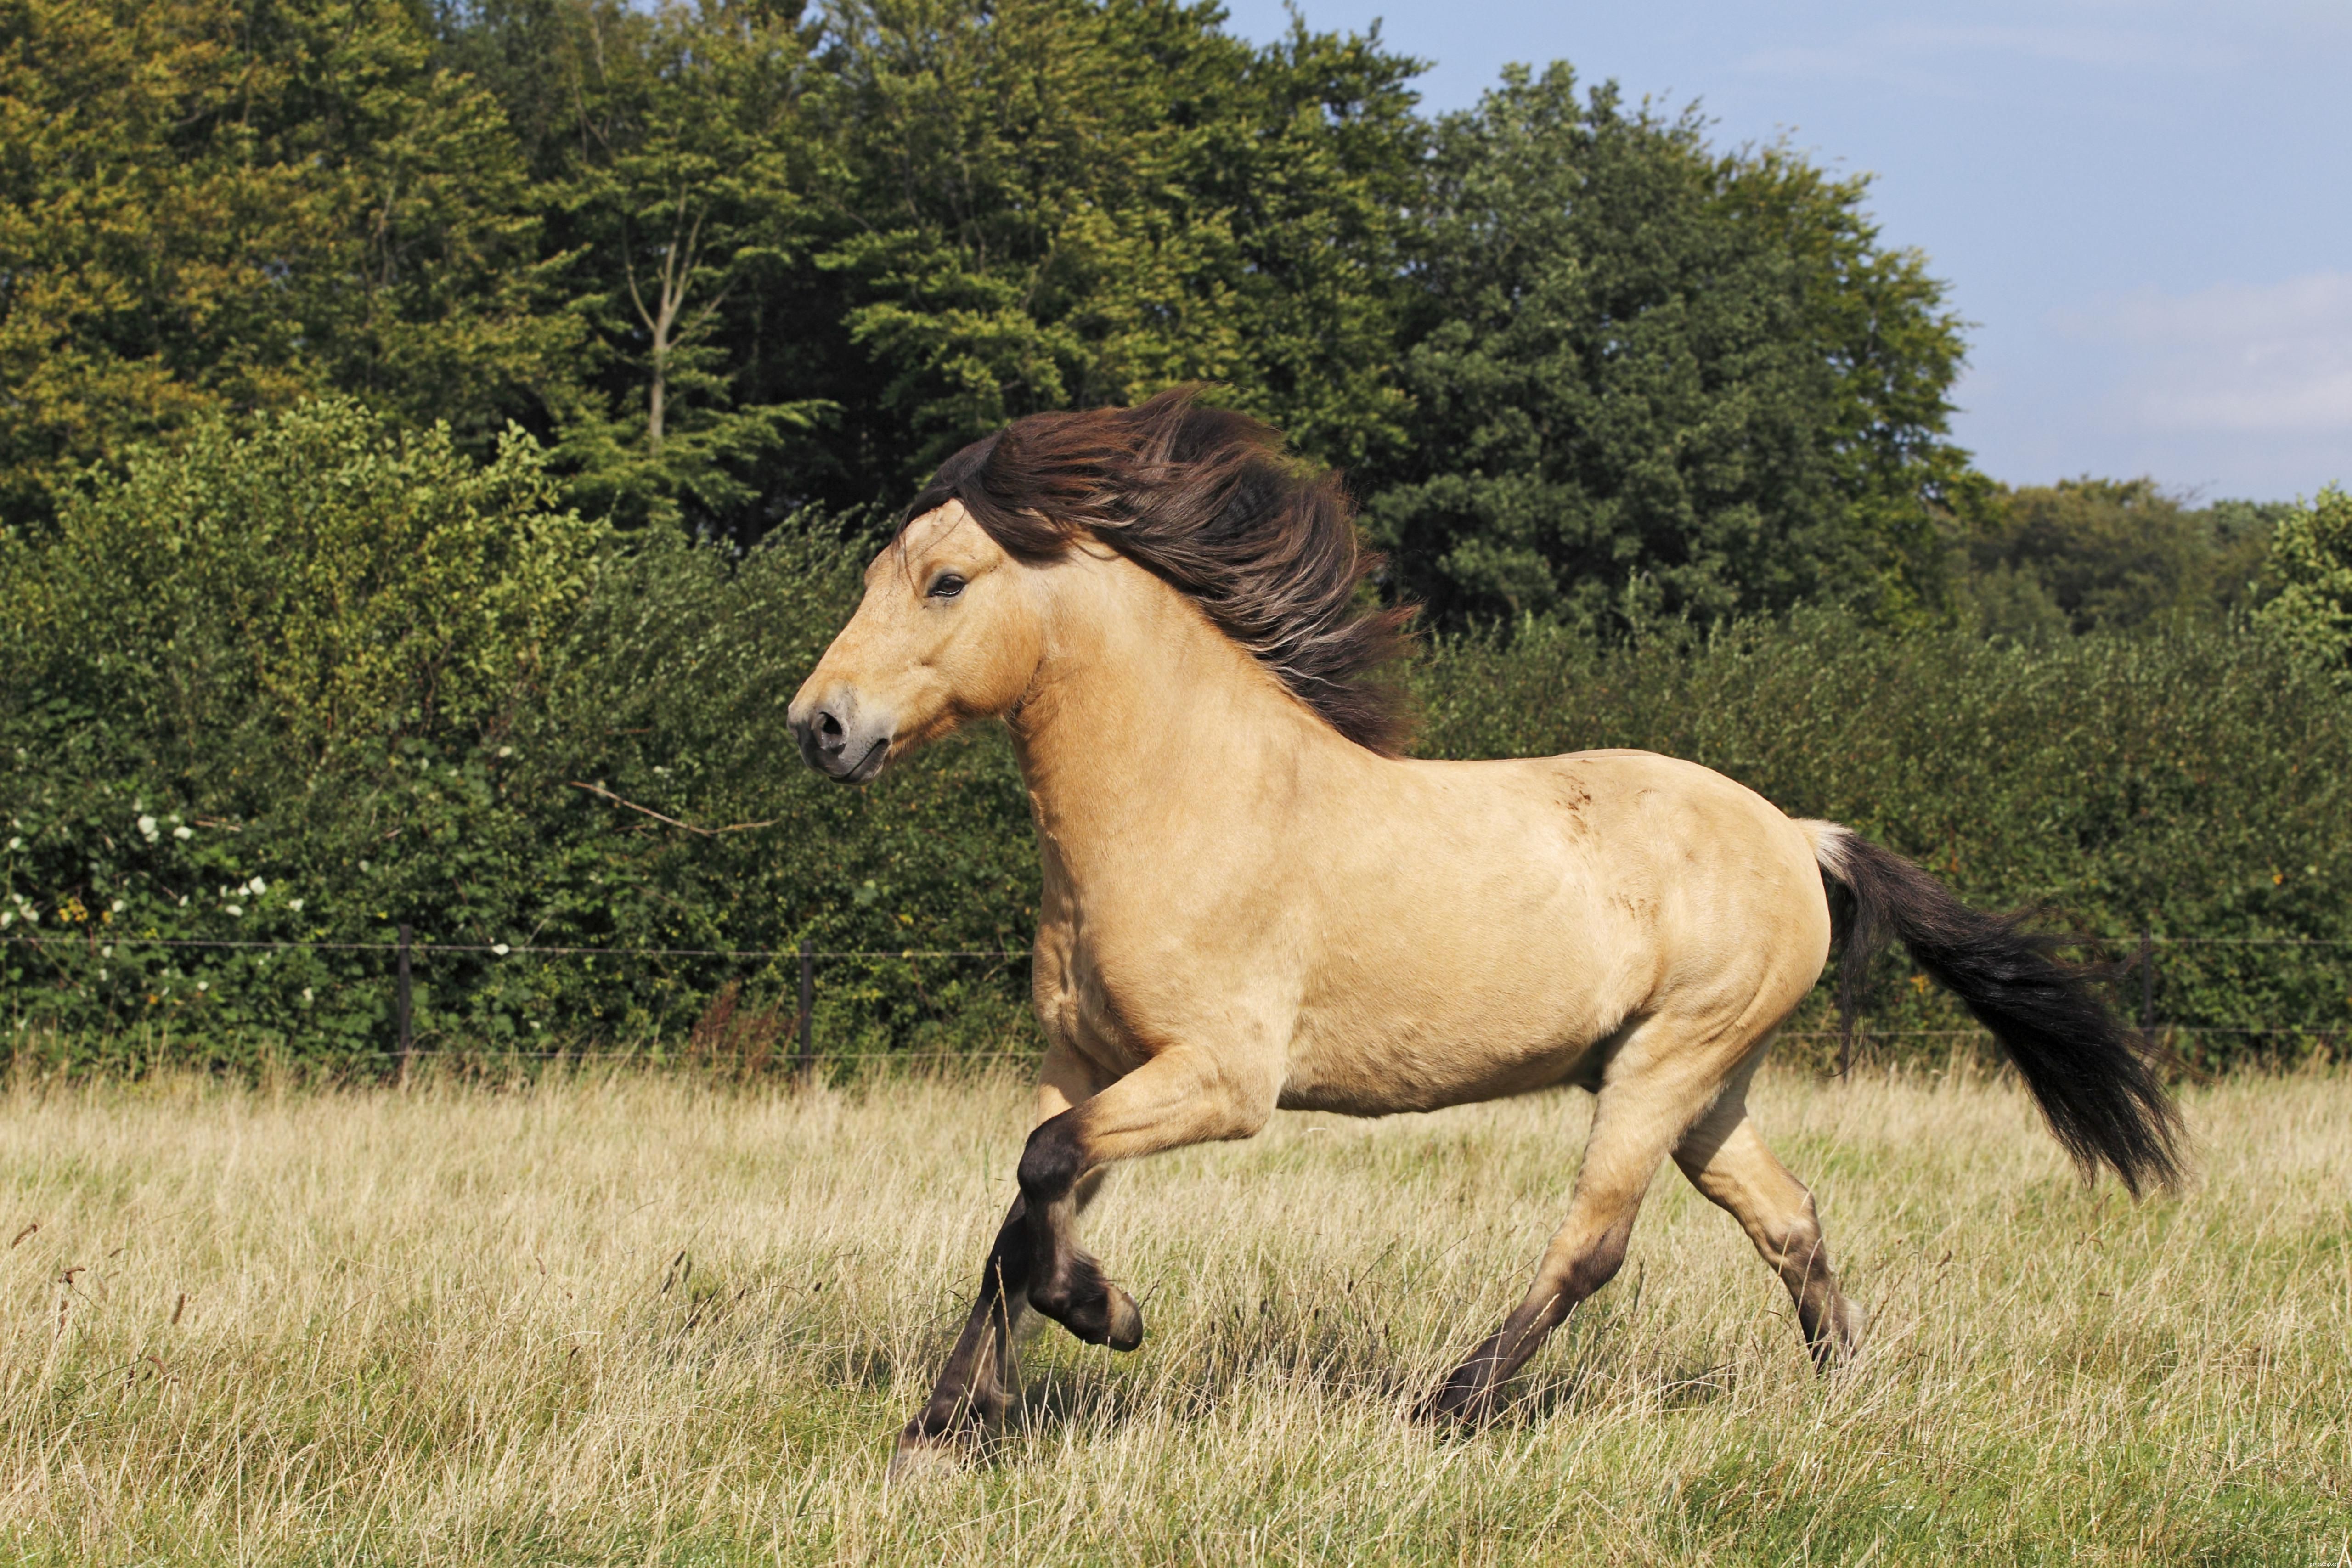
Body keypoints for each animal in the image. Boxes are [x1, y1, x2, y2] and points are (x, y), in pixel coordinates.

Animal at [785, 390, 2183, 1475]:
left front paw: (1109, 1318)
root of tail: (1798, 835)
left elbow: (1038, 1183)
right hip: (1707, 1085)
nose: (820, 725)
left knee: (1595, 1243)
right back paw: (1844, 1388)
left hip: (1664, 1067)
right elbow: (1020, 1218)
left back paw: (1448, 1405)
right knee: (1786, 1218)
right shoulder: (1089, 1060)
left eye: (946, 580)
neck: (1193, 801)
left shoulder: (1220, 1079)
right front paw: (944, 1429)